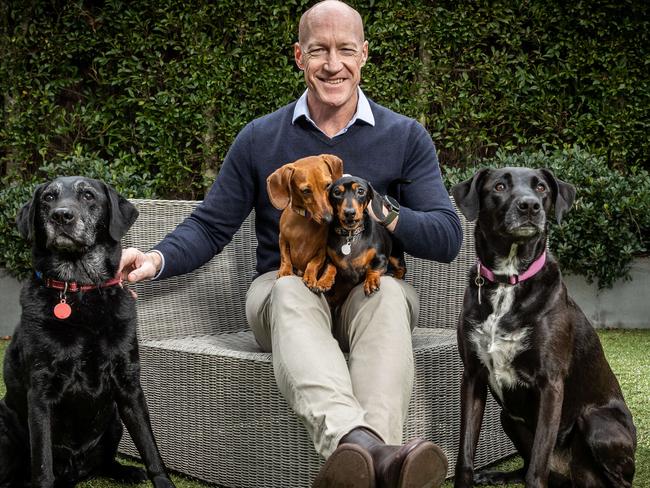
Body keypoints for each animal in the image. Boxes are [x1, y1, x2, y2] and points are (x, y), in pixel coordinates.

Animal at [0, 177, 175, 488]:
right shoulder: (40, 393)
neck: (79, 290)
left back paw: (127, 471)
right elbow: (42, 465)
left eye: (88, 195)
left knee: (105, 462)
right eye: (48, 198)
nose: (61, 216)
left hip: (115, 419)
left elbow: (150, 448)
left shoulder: (129, 386)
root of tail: (75, 472)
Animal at [264, 154, 342, 292]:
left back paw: (325, 281)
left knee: (332, 267)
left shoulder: (322, 250)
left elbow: (314, 263)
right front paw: (285, 271)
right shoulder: (282, 239)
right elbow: (285, 257)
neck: (305, 220)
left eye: (328, 185)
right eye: (306, 190)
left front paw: (310, 276)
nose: (329, 219)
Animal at [326, 173, 402, 306]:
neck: (351, 235)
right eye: (337, 192)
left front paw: (371, 282)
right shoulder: (329, 255)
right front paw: (324, 280)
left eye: (361, 191)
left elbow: (373, 269)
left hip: (396, 256)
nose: (349, 213)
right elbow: (330, 265)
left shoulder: (381, 258)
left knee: (402, 269)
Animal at [450, 169, 632, 488]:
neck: (508, 280)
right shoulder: (472, 376)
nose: (529, 206)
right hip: (507, 417)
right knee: (524, 467)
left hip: (596, 422)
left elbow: (537, 466)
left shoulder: (550, 384)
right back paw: (496, 474)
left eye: (542, 188)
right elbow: (466, 456)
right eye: (499, 186)